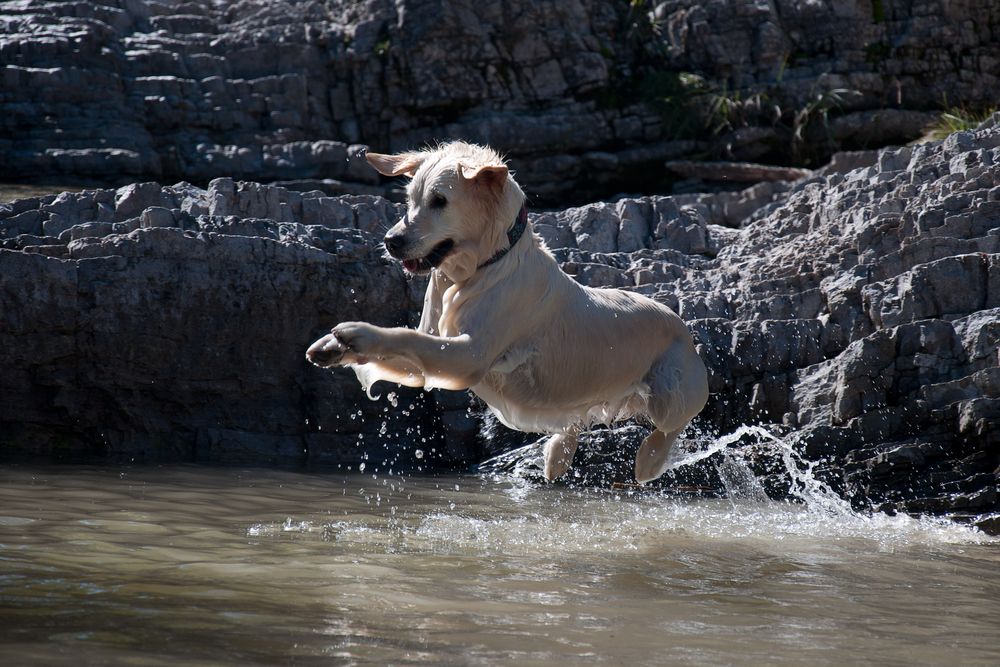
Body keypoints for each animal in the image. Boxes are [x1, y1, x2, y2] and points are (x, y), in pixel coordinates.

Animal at [308, 142, 708, 486]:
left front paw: (355, 333)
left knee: (671, 425)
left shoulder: (469, 356)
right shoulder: (431, 351)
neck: (480, 269)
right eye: (410, 200)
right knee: (578, 418)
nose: (391, 241)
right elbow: (404, 343)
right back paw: (557, 456)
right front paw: (332, 347)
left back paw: (648, 461)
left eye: (440, 201)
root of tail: (681, 325)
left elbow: (407, 337)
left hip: (671, 393)